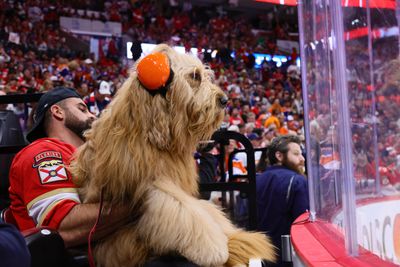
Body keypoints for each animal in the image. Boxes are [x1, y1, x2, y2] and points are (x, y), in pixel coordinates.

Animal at [70, 45, 276, 266]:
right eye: (195, 76)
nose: (224, 100)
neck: (149, 129)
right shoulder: (153, 184)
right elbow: (183, 209)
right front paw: (212, 247)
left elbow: (205, 209)